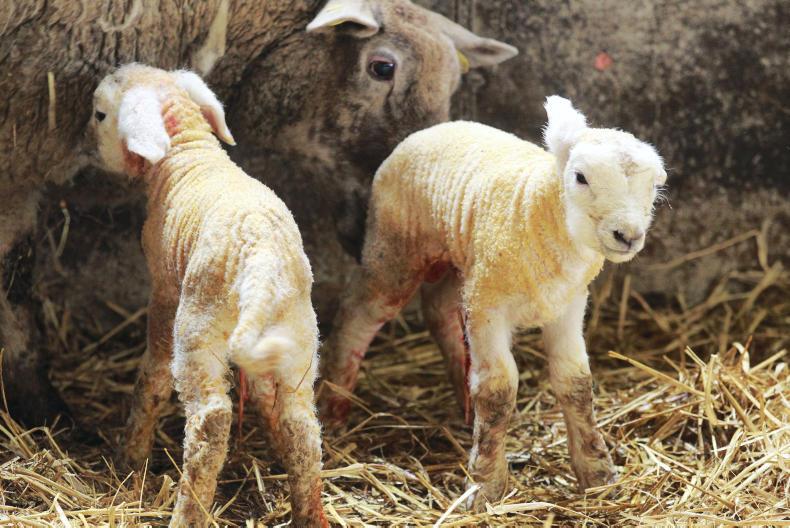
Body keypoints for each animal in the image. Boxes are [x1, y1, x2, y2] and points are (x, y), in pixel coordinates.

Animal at [91, 64, 327, 528]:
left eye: (100, 114)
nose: (91, 149)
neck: (188, 149)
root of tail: (261, 259)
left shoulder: (165, 289)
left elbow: (153, 375)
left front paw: (130, 456)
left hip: (199, 320)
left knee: (210, 420)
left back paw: (187, 512)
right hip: (299, 333)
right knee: (301, 424)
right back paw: (311, 513)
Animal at [318, 96, 667, 509]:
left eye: (656, 185)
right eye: (581, 177)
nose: (627, 235)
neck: (541, 212)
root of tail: (439, 127)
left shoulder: (567, 303)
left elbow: (576, 382)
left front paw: (598, 473)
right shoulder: (489, 304)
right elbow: (498, 389)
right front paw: (485, 486)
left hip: (459, 263)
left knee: (440, 312)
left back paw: (464, 403)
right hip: (394, 247)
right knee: (359, 312)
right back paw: (334, 404)